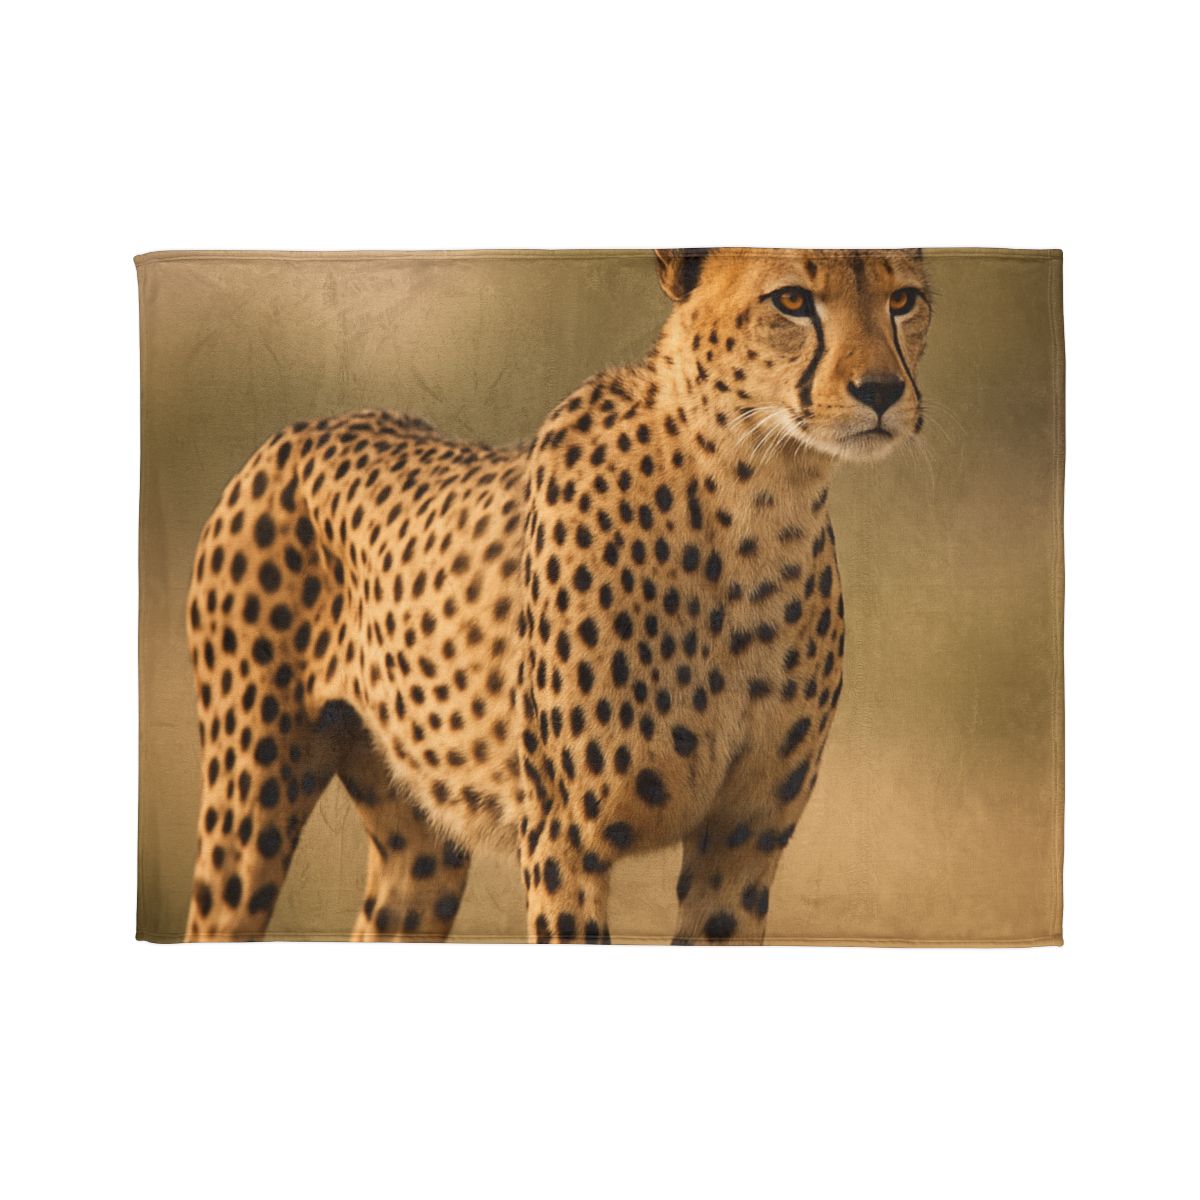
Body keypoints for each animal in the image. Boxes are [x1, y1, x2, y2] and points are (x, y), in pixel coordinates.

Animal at [184, 247, 932, 943]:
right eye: (792, 300)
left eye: (902, 300)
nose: (881, 390)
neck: (759, 498)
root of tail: (302, 428)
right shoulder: (564, 840)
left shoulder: (742, 842)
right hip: (249, 801)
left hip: (420, 846)